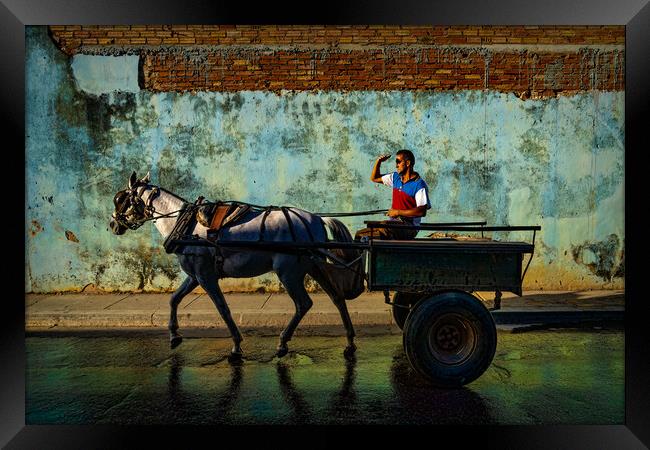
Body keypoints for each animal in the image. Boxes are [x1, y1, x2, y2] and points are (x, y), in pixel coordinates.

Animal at [108, 171, 362, 360]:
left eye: (120, 199)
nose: (112, 224)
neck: (185, 225)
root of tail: (316, 219)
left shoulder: (205, 276)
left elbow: (222, 308)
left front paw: (237, 347)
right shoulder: (195, 275)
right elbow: (174, 299)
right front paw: (174, 335)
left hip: (289, 272)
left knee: (303, 304)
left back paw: (282, 343)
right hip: (313, 267)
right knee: (337, 298)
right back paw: (349, 342)